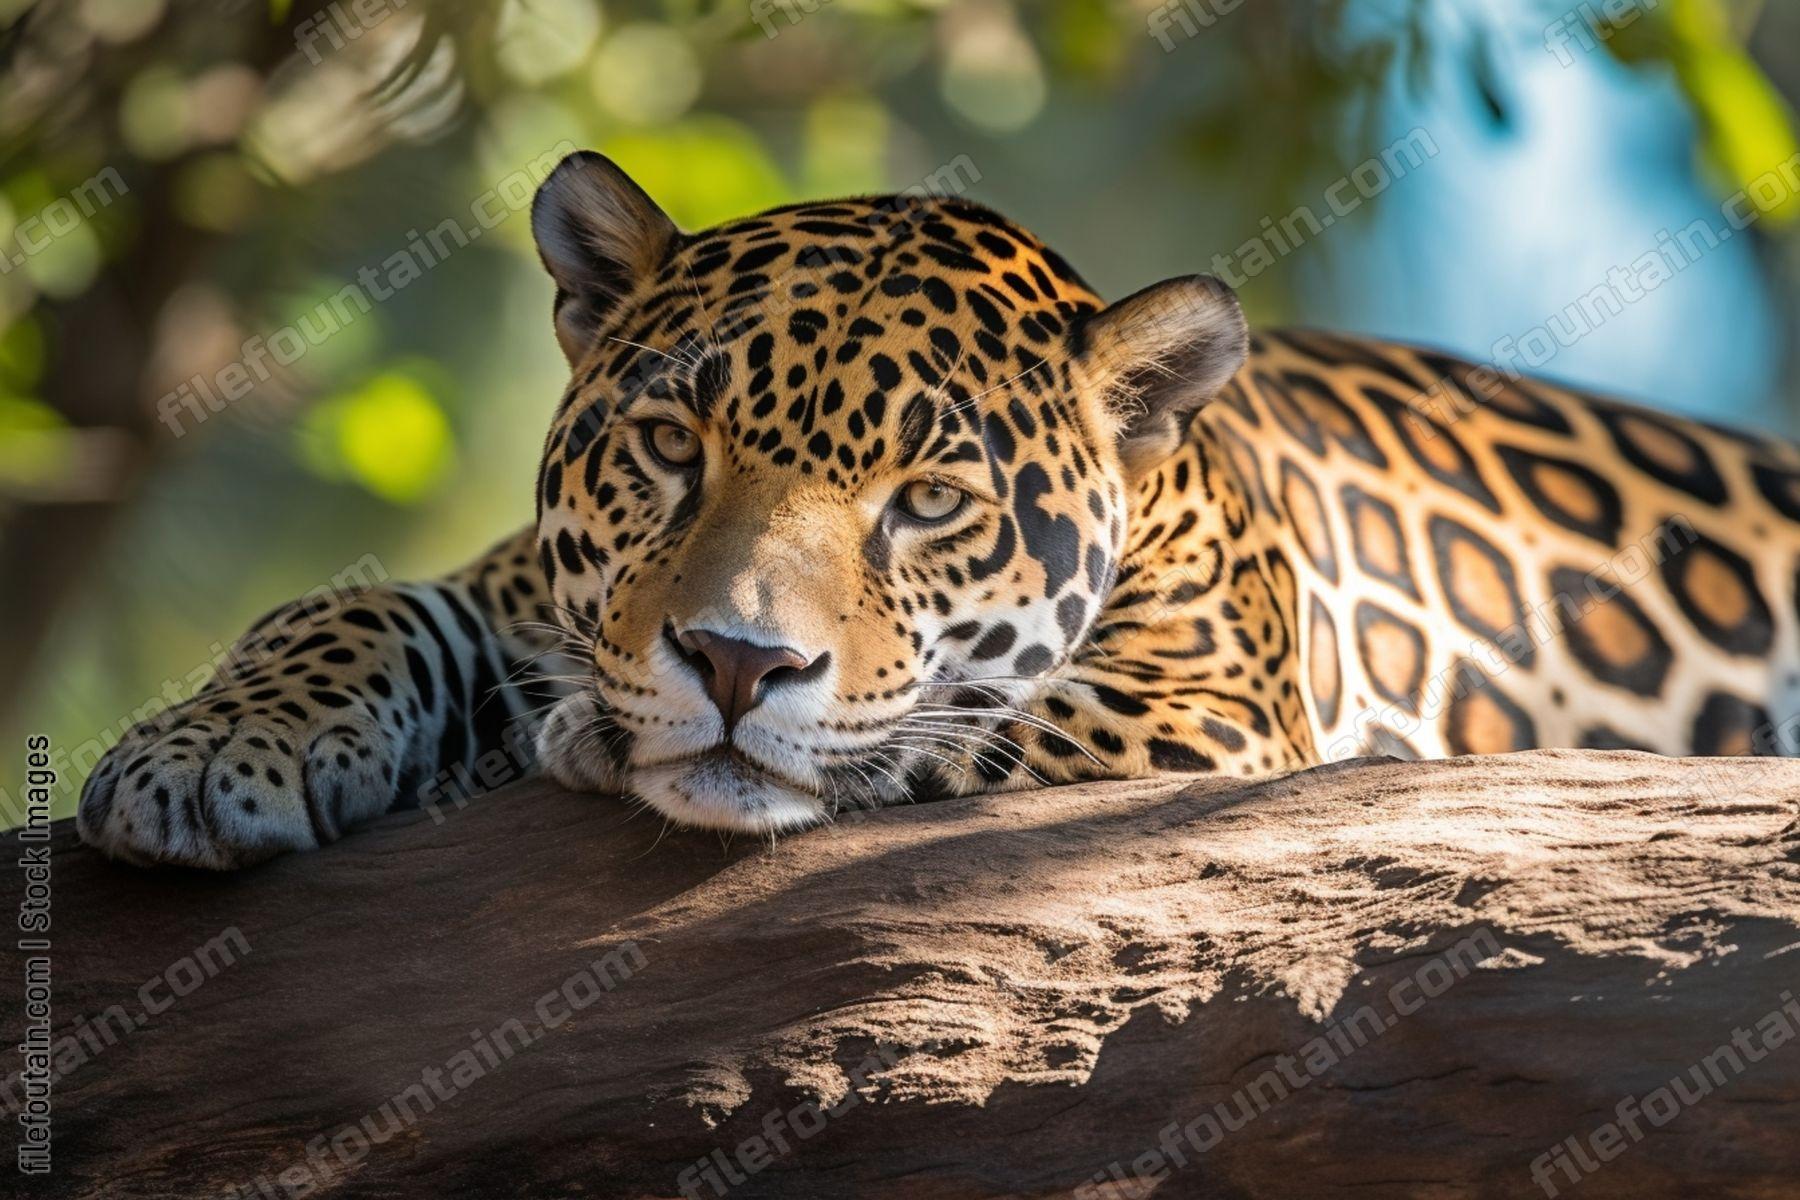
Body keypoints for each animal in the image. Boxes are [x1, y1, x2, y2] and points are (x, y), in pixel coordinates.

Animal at [77, 149, 1800, 868]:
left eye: (928, 503)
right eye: (672, 444)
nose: (732, 663)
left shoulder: (1219, 713)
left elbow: (955, 719)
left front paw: (595, 735)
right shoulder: (517, 588)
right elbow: (354, 601)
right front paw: (204, 754)